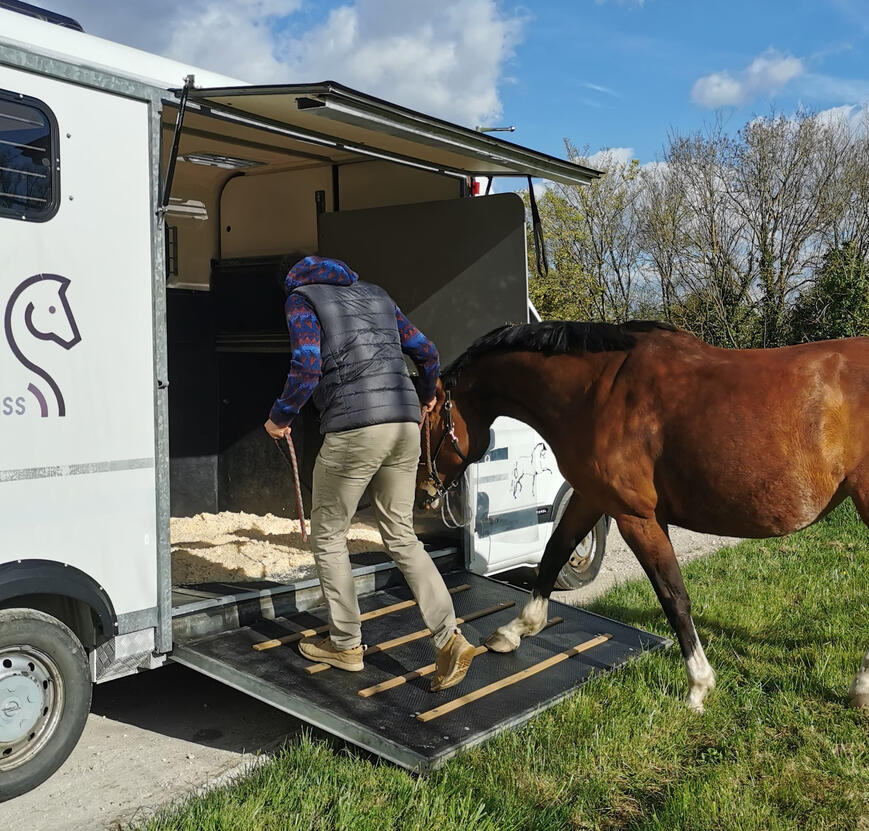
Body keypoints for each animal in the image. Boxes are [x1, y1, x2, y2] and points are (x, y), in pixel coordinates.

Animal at [417, 320, 869, 712]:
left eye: (429, 419)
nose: (424, 492)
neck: (598, 392)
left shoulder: (636, 517)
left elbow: (674, 597)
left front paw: (698, 686)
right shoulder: (592, 498)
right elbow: (554, 553)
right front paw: (514, 631)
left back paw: (860, 686)